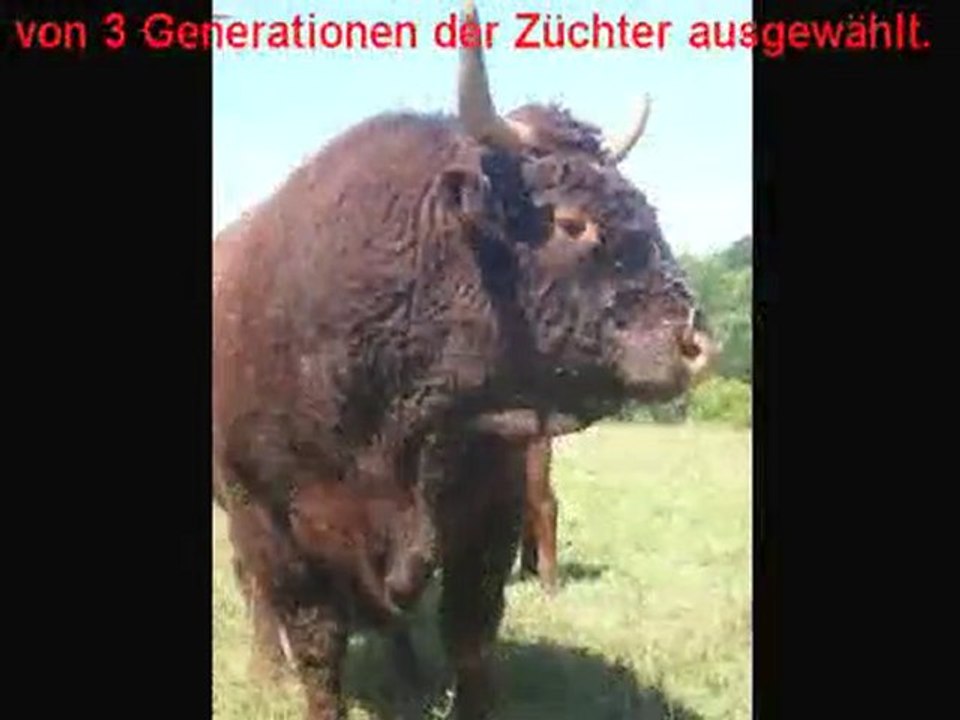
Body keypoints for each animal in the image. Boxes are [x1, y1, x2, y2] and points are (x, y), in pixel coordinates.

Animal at [212, 2, 715, 718]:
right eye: (571, 221)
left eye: (645, 205)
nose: (695, 343)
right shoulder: (274, 524)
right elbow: (315, 645)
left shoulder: (487, 516)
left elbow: (471, 637)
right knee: (257, 594)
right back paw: (267, 671)